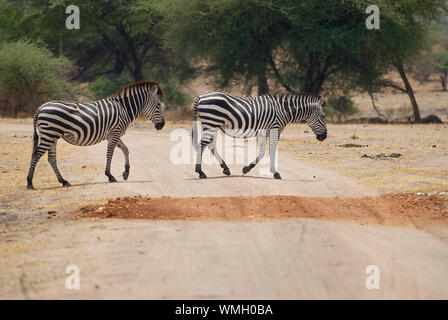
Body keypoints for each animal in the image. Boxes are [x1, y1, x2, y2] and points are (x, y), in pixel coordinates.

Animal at [25, 80, 164, 190]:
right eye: (158, 105)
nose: (162, 125)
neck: (124, 108)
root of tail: (42, 107)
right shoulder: (115, 132)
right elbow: (110, 153)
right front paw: (110, 175)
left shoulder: (113, 134)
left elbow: (126, 149)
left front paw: (126, 172)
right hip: (49, 134)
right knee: (36, 155)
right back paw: (30, 183)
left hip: (52, 136)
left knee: (51, 158)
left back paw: (63, 181)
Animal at [191, 91, 328, 179]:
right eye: (322, 116)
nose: (324, 137)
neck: (284, 111)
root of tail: (201, 96)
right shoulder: (275, 128)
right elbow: (272, 150)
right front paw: (275, 173)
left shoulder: (263, 131)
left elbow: (262, 152)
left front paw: (247, 168)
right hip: (212, 122)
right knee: (202, 144)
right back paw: (200, 172)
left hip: (211, 124)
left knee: (210, 145)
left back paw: (225, 168)